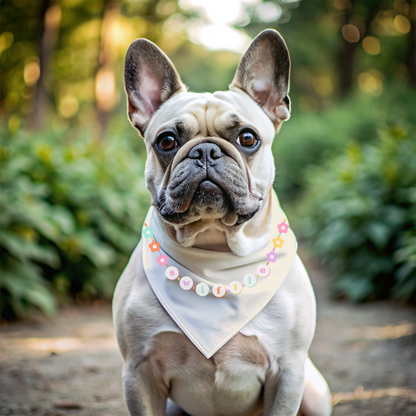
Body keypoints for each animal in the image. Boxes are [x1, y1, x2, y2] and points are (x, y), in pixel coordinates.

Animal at [113, 29, 332, 416]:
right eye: (166, 141)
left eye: (248, 138)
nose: (205, 151)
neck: (215, 256)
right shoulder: (139, 372)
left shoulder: (289, 373)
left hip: (314, 390)